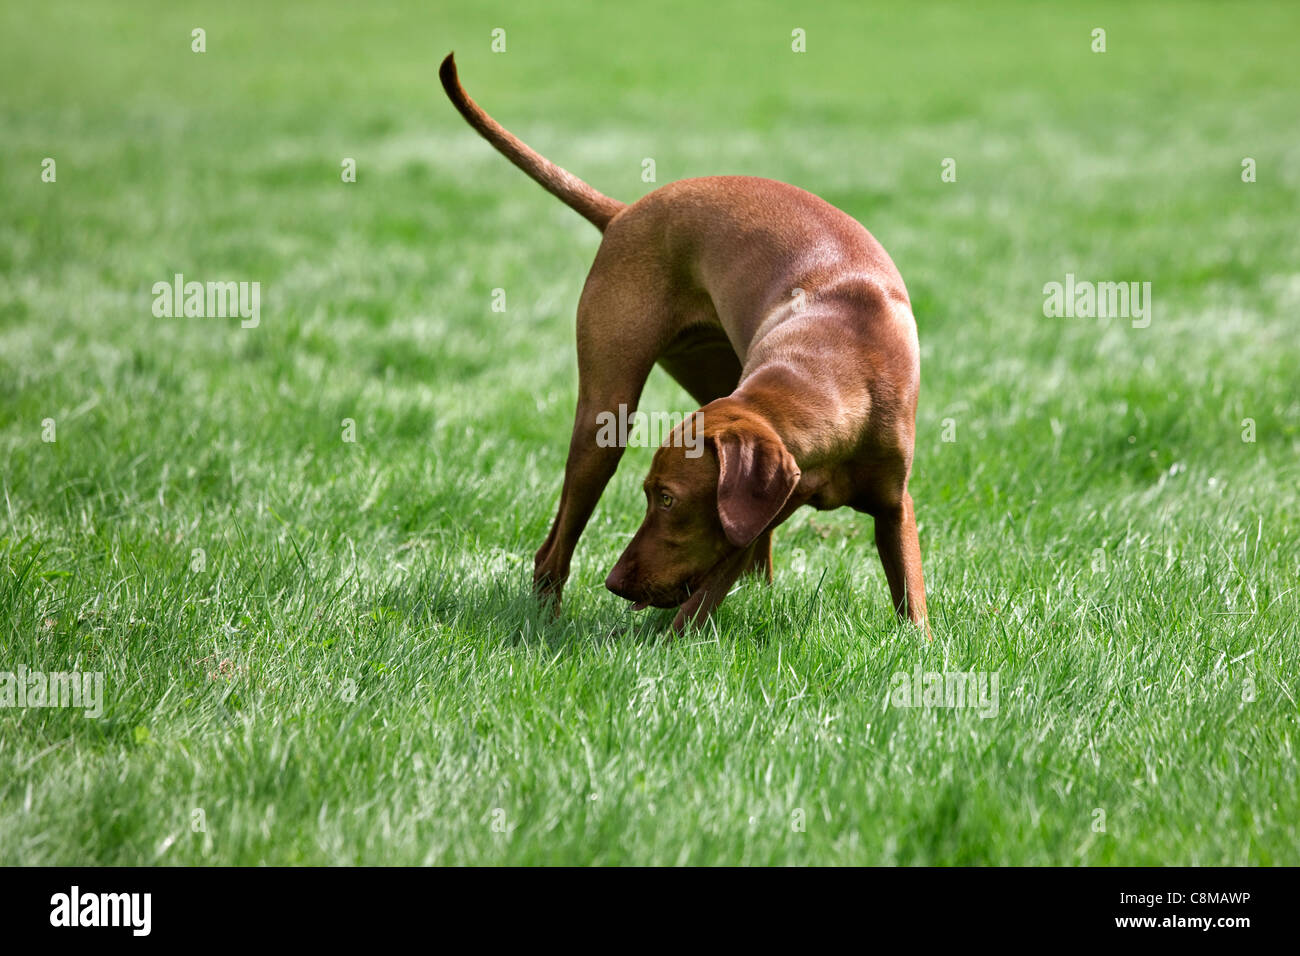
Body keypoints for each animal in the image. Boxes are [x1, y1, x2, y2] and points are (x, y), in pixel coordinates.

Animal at [441, 54, 930, 634]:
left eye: (669, 499)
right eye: (650, 495)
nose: (615, 584)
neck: (835, 358)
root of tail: (625, 210)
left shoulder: (890, 505)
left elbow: (913, 606)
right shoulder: (746, 516)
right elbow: (695, 608)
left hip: (712, 382)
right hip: (604, 422)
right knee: (552, 549)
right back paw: (545, 621)